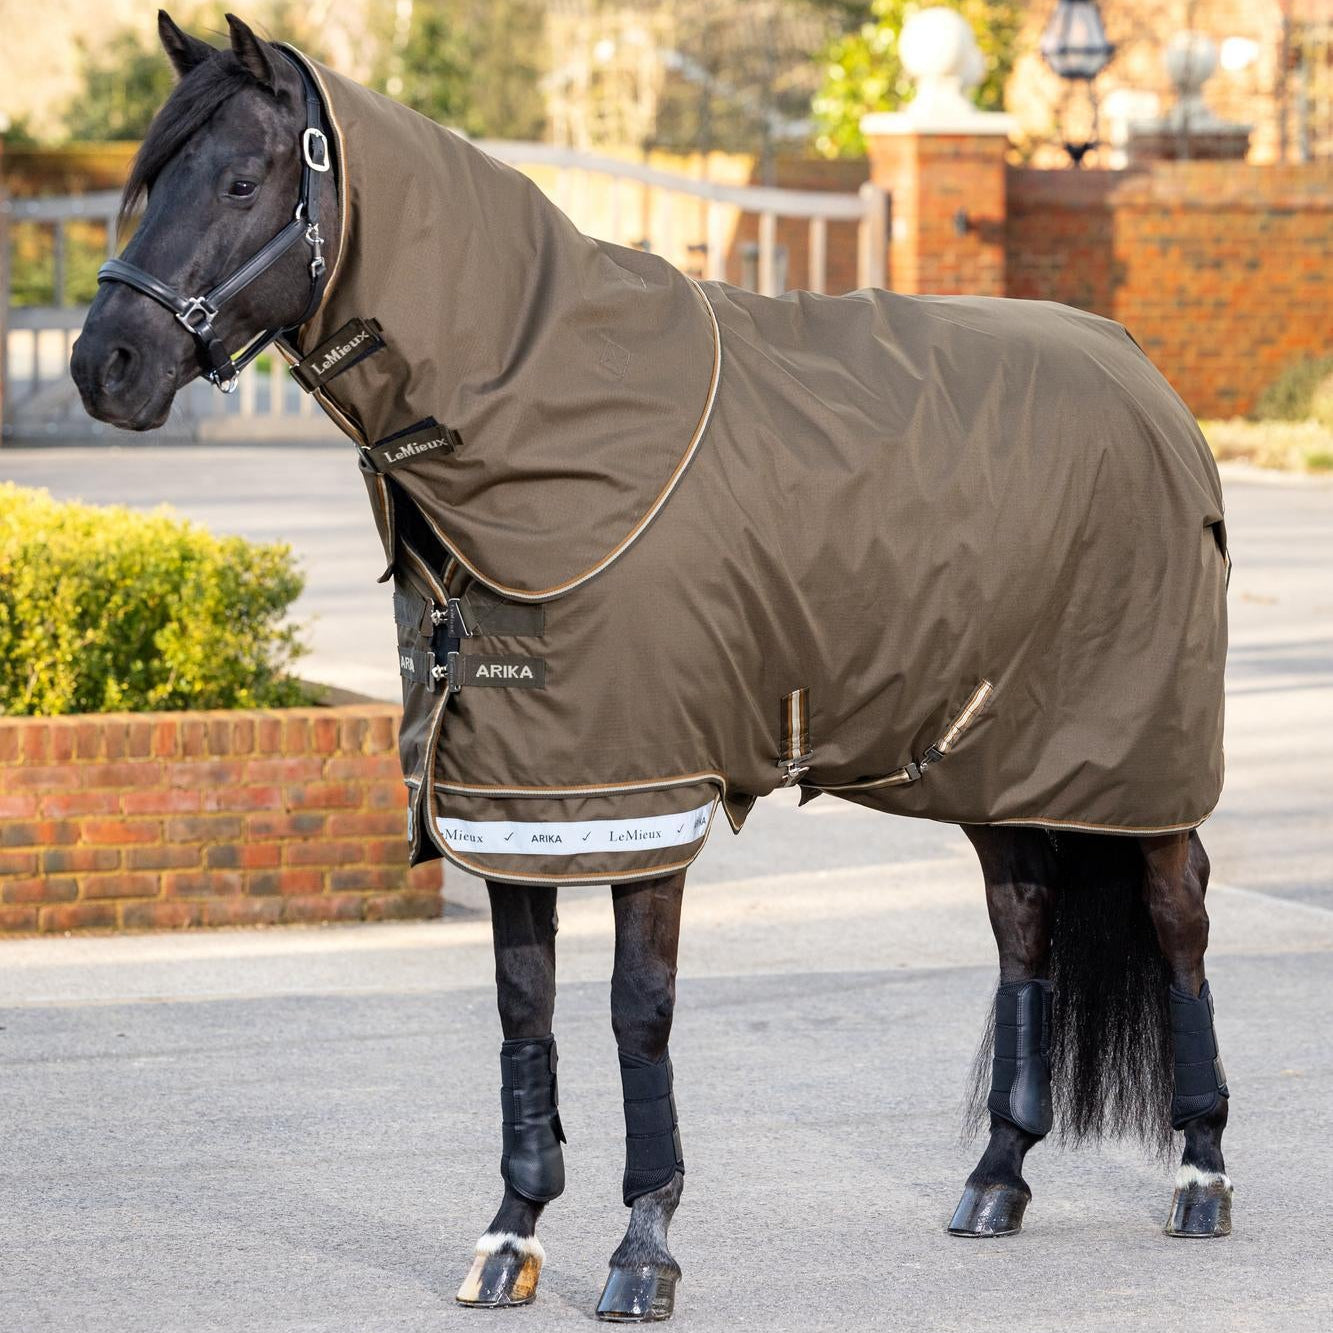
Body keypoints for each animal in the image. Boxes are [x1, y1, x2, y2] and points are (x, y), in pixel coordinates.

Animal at [72, 13, 1233, 1322]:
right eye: (155, 175)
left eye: (238, 179)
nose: (105, 364)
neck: (548, 431)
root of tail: (1141, 372)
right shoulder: (512, 796)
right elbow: (524, 1007)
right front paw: (512, 1233)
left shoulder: (643, 791)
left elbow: (638, 1013)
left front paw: (642, 1245)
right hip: (994, 752)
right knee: (1023, 917)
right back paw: (995, 1176)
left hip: (1137, 753)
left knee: (1179, 915)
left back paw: (1199, 1173)